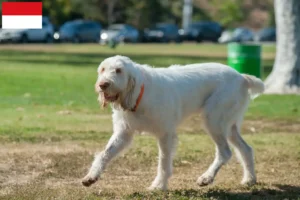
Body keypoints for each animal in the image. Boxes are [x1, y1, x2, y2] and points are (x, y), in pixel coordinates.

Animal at [82, 55, 264, 190]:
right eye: (102, 69)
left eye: (119, 70)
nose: (102, 85)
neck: (139, 94)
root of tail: (241, 77)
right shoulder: (123, 134)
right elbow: (105, 153)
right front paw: (91, 176)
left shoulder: (165, 134)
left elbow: (163, 161)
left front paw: (159, 186)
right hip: (229, 126)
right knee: (246, 149)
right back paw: (249, 179)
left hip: (213, 121)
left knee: (225, 152)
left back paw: (206, 177)